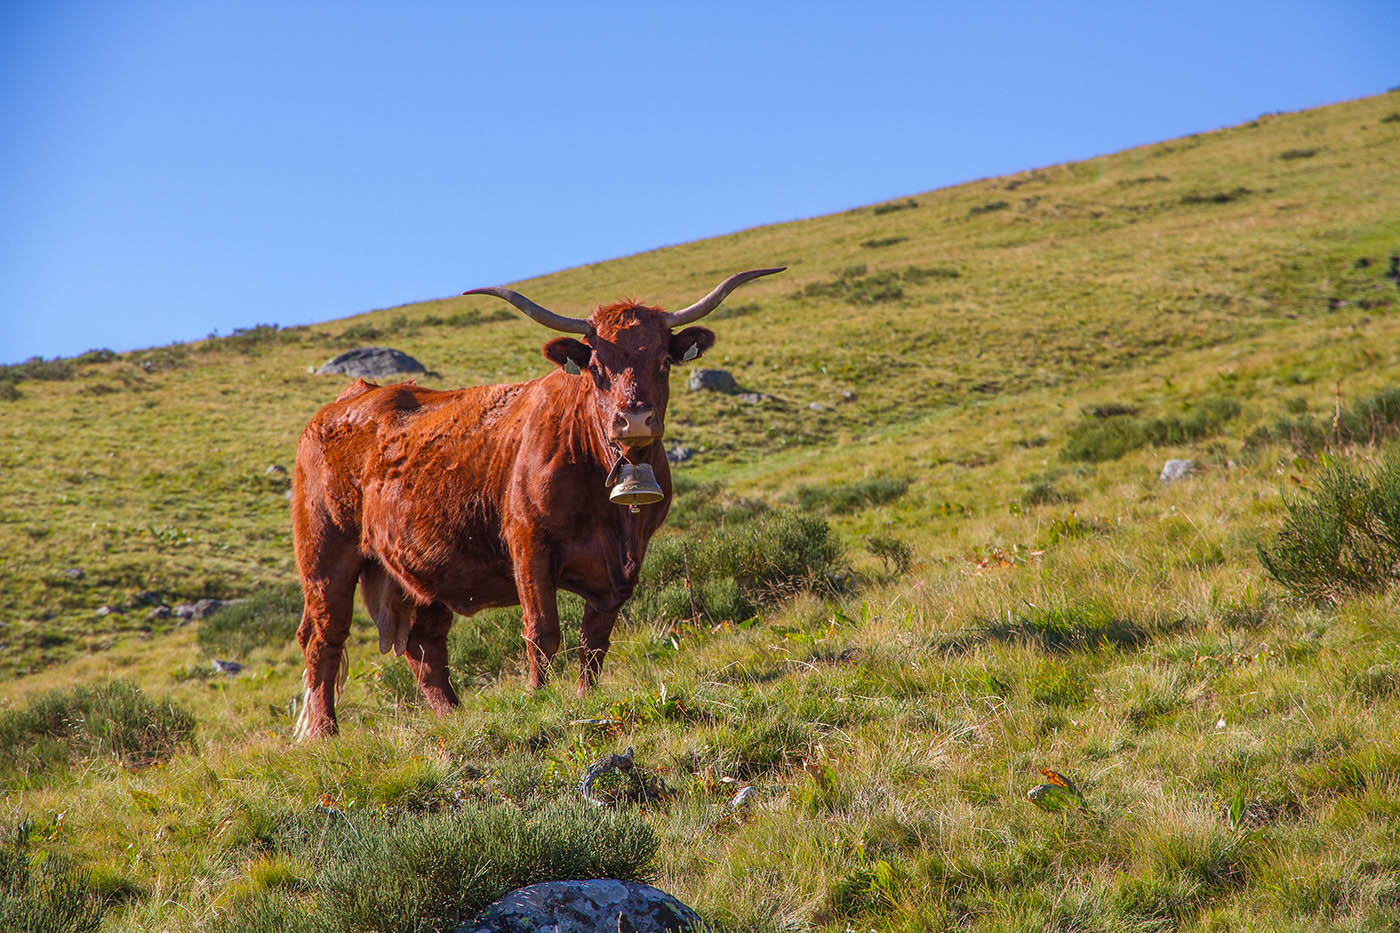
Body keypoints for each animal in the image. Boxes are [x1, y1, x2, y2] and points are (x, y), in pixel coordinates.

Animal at [288, 267, 784, 734]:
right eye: (596, 367)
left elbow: (594, 639)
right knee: (324, 639)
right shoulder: (529, 545)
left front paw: (586, 696)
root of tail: (348, 400)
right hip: (326, 559)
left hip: (420, 569)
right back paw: (325, 732)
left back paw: (453, 717)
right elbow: (542, 631)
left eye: (663, 360)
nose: (635, 419)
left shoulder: (625, 565)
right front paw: (537, 699)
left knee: (424, 647)